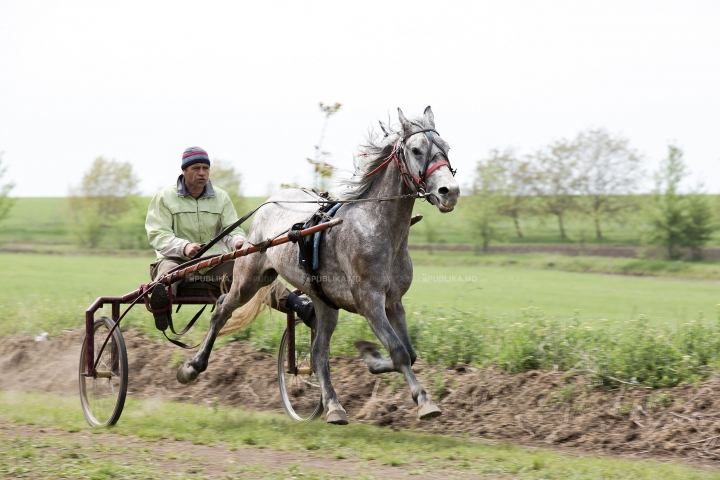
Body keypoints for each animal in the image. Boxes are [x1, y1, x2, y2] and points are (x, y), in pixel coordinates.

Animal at [177, 106, 464, 424]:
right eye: (416, 150)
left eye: (446, 147)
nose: (449, 191)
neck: (379, 229)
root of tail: (270, 202)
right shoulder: (369, 301)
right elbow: (399, 351)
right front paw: (424, 401)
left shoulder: (393, 301)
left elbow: (408, 354)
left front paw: (371, 357)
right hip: (249, 278)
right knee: (221, 310)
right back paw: (192, 367)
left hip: (324, 302)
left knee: (318, 353)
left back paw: (334, 405)